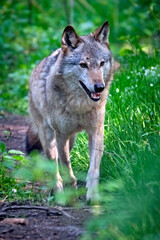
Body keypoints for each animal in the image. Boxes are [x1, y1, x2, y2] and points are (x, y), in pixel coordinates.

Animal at [26, 20, 116, 202]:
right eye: (83, 65)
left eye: (102, 63)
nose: (100, 87)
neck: (80, 105)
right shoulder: (61, 135)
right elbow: (66, 167)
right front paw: (71, 189)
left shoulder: (96, 131)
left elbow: (93, 169)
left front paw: (93, 195)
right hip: (50, 137)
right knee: (54, 166)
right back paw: (59, 193)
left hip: (72, 139)